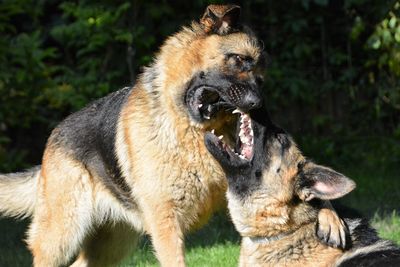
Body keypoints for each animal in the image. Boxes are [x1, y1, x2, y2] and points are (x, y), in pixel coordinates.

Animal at [0, 4, 344, 267]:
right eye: (238, 60)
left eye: (261, 77)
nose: (260, 106)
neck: (189, 131)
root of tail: (53, 137)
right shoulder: (166, 223)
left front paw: (329, 214)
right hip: (62, 237)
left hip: (111, 244)